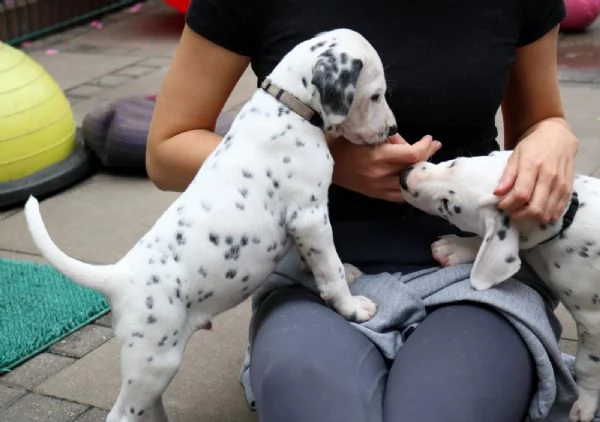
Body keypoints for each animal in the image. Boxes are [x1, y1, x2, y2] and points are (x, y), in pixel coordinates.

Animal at [23, 28, 398, 420]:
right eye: (376, 95)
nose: (392, 128)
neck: (287, 107)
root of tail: (118, 276)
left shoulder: (303, 225)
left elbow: (318, 260)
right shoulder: (309, 217)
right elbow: (330, 267)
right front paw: (351, 306)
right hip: (154, 360)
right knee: (121, 414)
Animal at [398, 151, 600, 422]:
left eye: (447, 206)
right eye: (453, 163)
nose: (404, 176)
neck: (567, 220)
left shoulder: (592, 321)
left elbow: (587, 365)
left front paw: (586, 404)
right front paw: (458, 248)